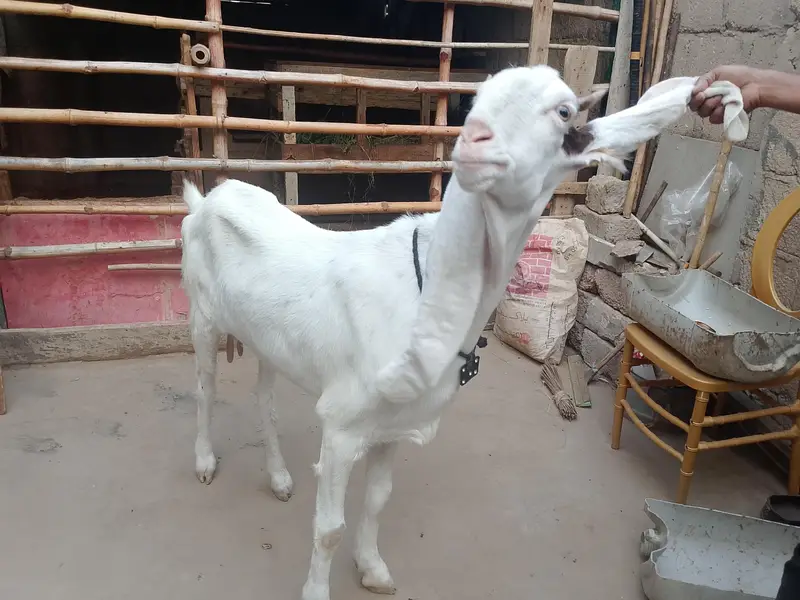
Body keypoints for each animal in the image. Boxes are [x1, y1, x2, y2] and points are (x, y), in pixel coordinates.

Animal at [179, 66, 747, 600]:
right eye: (476, 102)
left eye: (564, 111)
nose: (474, 142)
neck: (426, 293)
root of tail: (204, 200)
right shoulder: (342, 424)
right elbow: (329, 528)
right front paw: (318, 591)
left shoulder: (394, 425)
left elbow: (378, 502)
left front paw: (374, 570)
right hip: (203, 315)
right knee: (205, 389)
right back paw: (204, 462)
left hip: (267, 337)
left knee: (265, 398)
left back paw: (278, 477)